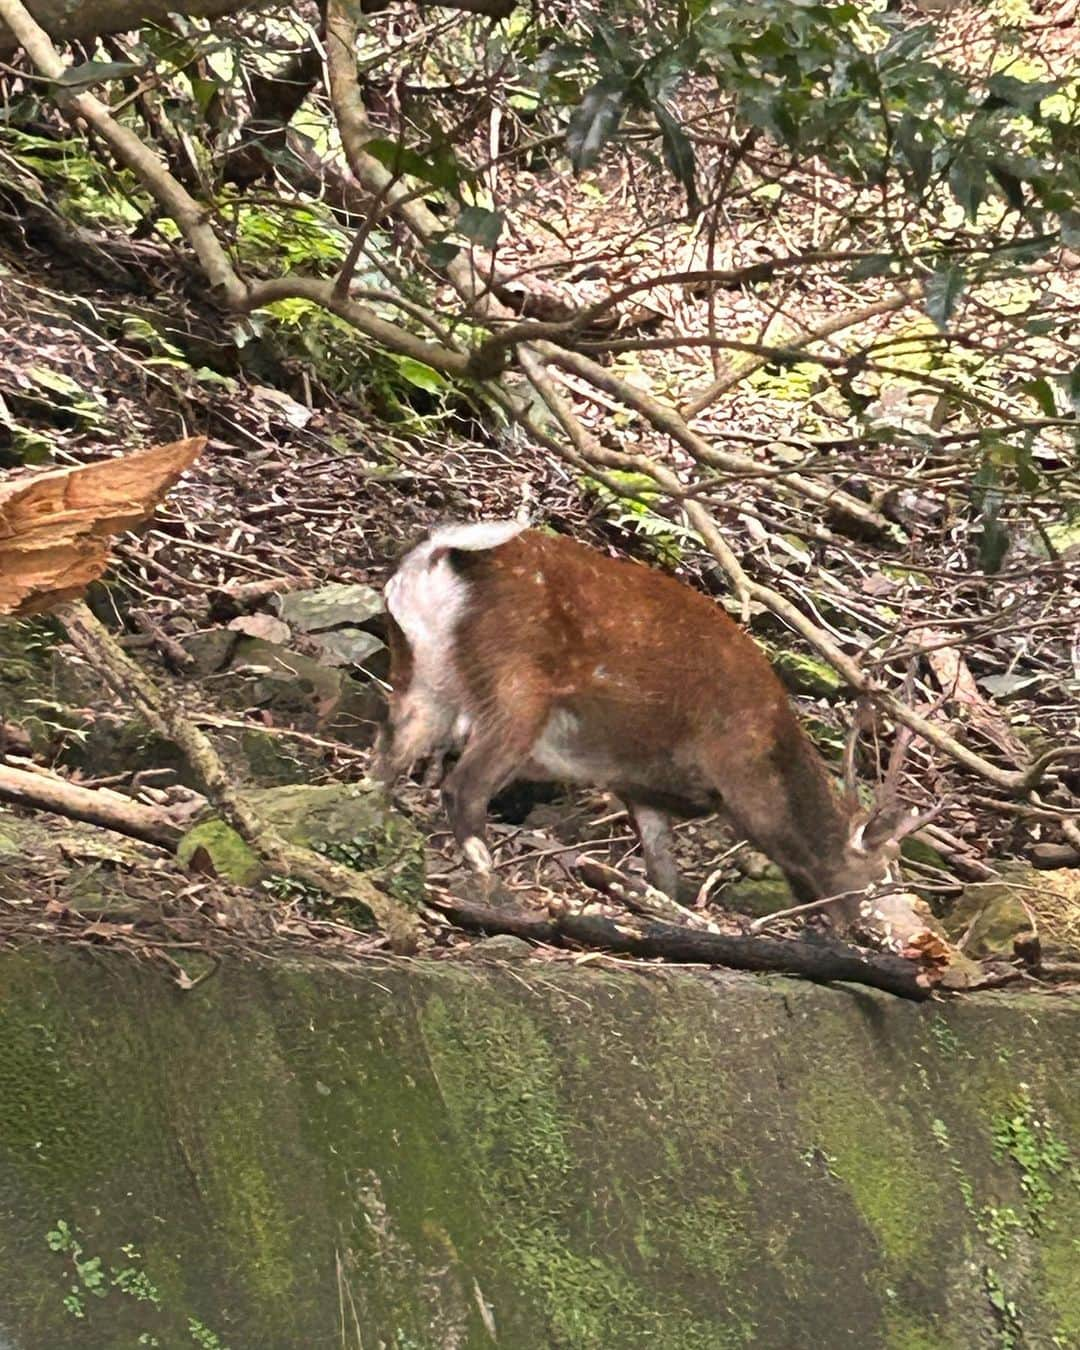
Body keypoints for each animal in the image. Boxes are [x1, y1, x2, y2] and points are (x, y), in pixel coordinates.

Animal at [380, 521, 934, 945]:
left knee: (384, 759)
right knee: (464, 786)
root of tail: (437, 556)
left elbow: (663, 875)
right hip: (515, 685)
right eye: (885, 873)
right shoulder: (734, 766)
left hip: (421, 673)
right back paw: (494, 888)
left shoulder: (636, 783)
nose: (909, 940)